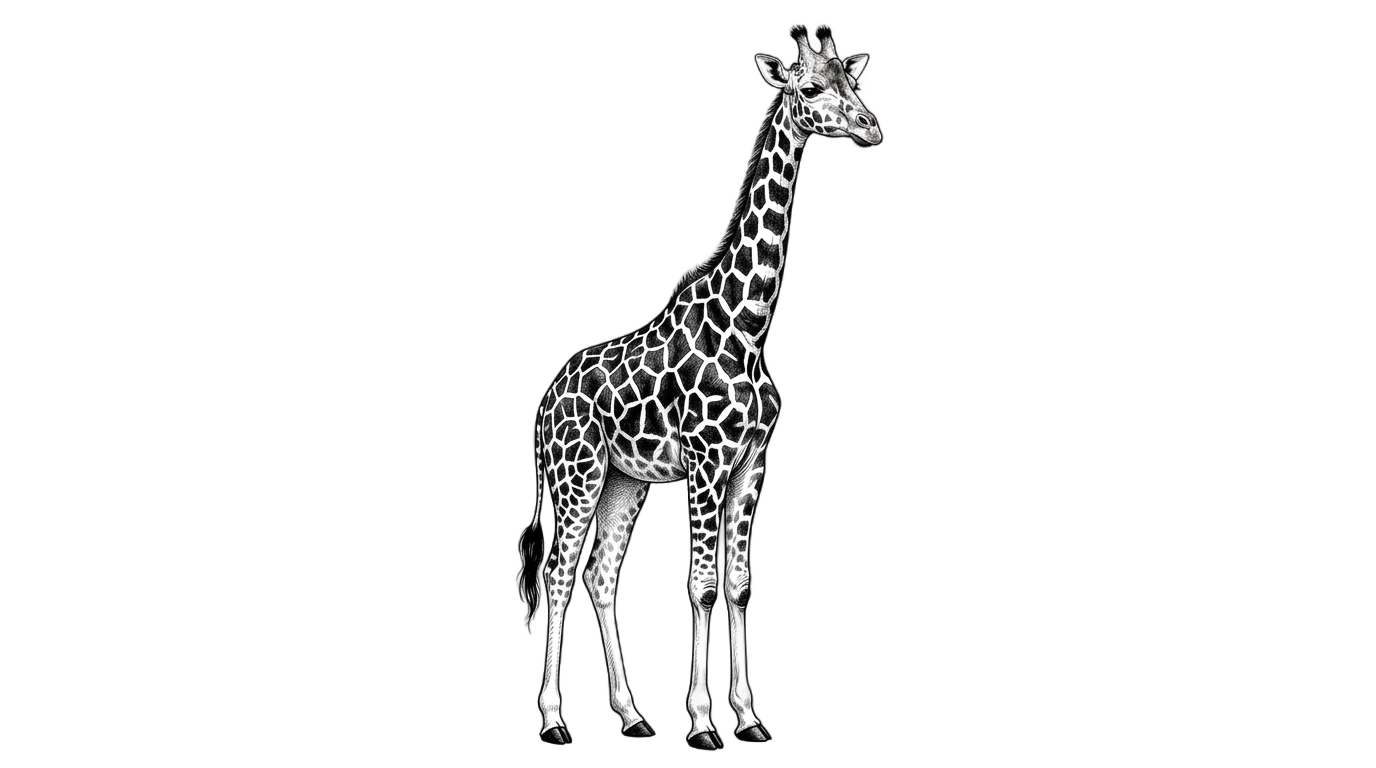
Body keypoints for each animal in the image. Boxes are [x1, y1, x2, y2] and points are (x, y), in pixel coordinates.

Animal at [513, 23, 882, 756]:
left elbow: (738, 586)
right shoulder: (706, 463)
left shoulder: (752, 462)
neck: (748, 322)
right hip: (576, 474)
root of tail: (542, 406)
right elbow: (701, 588)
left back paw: (631, 717)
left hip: (624, 480)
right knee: (559, 573)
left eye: (852, 81)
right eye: (809, 89)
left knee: (600, 574)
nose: (870, 127)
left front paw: (749, 717)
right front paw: (704, 723)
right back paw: (554, 721)